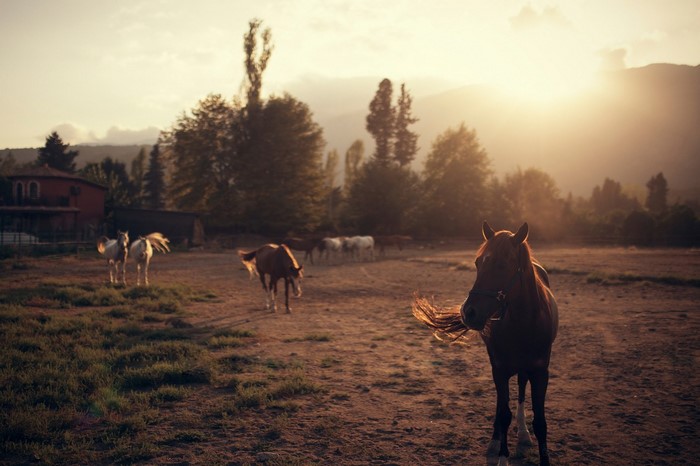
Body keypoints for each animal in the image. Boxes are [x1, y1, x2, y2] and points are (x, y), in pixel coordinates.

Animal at [413, 222, 558, 466]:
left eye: (503, 264)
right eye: (477, 263)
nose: (469, 312)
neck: (524, 322)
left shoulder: (540, 371)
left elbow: (540, 422)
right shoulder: (499, 369)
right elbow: (503, 413)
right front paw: (501, 456)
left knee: (520, 390)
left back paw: (523, 434)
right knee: (502, 405)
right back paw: (495, 441)